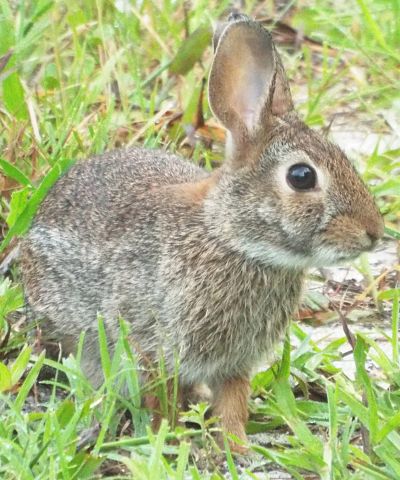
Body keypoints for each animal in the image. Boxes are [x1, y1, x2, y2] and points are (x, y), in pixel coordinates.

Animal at [21, 13, 384, 452]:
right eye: (301, 177)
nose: (374, 233)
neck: (233, 239)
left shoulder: (234, 364)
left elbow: (232, 403)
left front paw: (238, 446)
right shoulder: (152, 346)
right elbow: (159, 398)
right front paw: (170, 437)